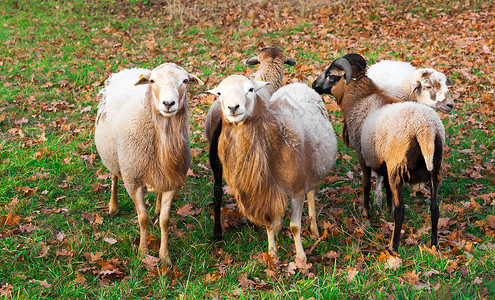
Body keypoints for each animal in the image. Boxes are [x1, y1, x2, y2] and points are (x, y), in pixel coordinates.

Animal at [94, 63, 204, 262]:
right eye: (152, 81)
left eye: (185, 81)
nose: (168, 104)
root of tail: (131, 69)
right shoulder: (133, 181)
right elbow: (143, 218)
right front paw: (143, 253)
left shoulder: (173, 183)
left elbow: (165, 220)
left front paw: (164, 256)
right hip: (114, 157)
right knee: (114, 178)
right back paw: (113, 207)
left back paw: (157, 206)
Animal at [207, 75, 340, 260]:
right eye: (219, 93)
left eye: (251, 89)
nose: (233, 107)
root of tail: (298, 84)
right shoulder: (265, 191)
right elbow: (269, 223)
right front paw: (272, 252)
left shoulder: (297, 190)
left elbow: (295, 226)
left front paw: (301, 257)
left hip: (313, 169)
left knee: (312, 194)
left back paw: (314, 230)